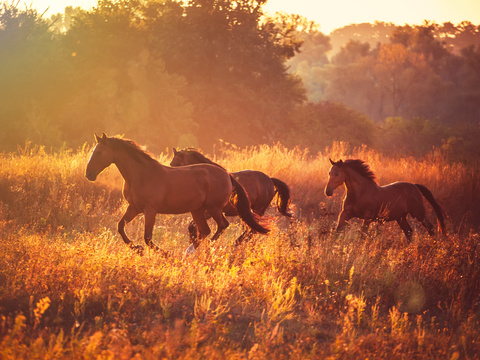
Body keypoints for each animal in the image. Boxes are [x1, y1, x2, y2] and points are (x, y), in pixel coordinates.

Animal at [84, 134, 268, 252]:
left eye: (99, 152)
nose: (89, 174)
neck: (141, 175)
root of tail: (227, 175)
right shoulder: (134, 208)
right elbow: (121, 226)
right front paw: (136, 248)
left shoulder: (150, 210)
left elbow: (148, 237)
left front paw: (166, 255)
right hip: (198, 210)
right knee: (205, 231)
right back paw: (192, 251)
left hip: (214, 208)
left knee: (222, 226)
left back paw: (201, 249)